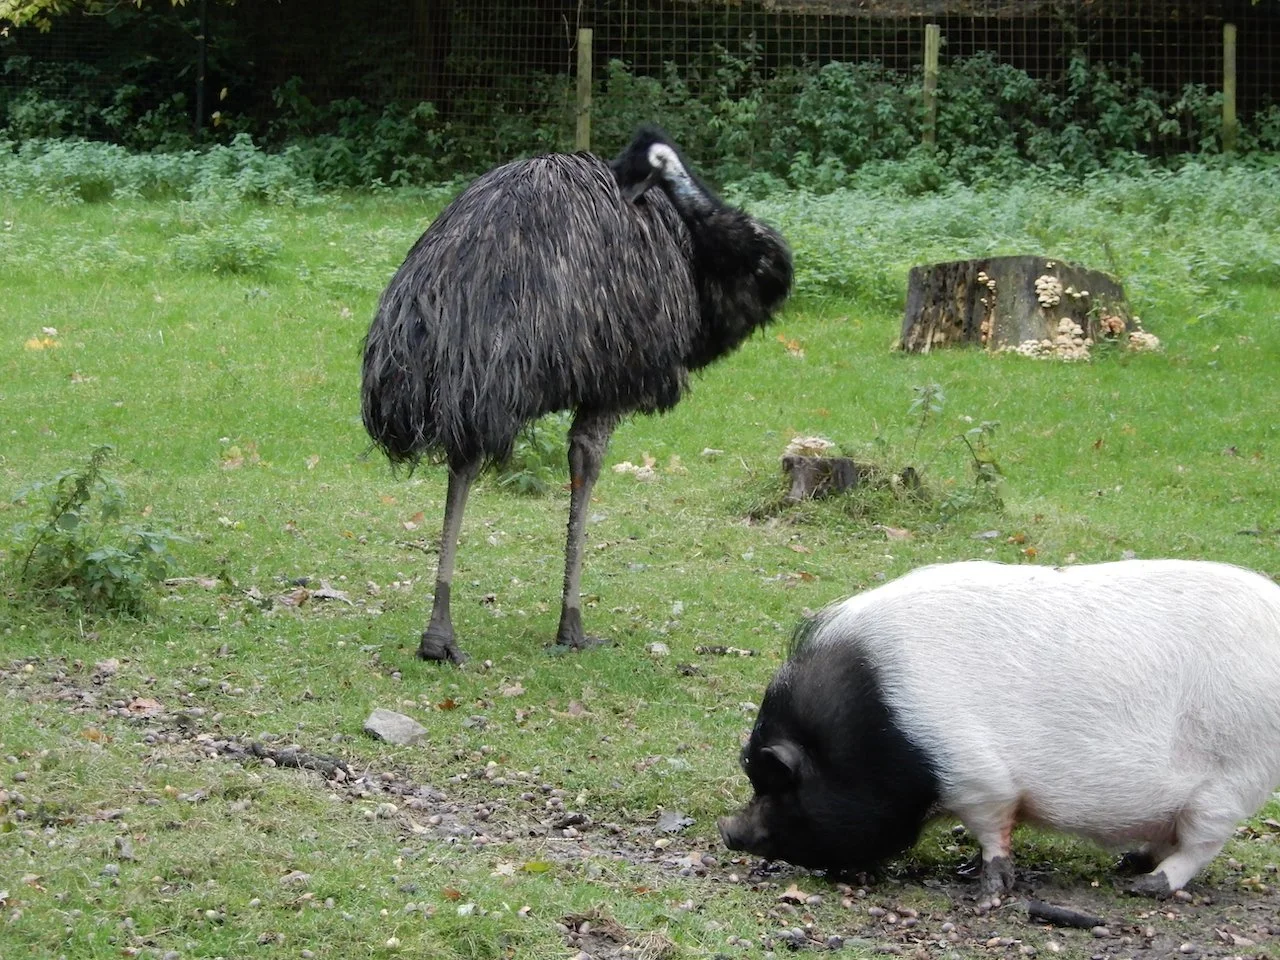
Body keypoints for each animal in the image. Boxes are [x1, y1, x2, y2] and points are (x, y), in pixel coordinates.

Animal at [718, 559, 1280, 898]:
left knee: (1201, 845)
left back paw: (1146, 886)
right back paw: (1130, 863)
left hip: (1233, 778)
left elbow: (993, 827)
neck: (880, 730)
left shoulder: (977, 776)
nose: (727, 830)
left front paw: (989, 887)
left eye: (777, 780)